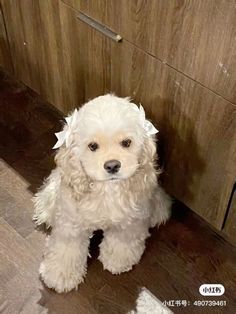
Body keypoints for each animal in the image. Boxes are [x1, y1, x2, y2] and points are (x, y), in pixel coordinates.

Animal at [32, 94, 171, 294]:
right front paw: (60, 275)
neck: (107, 189)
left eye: (126, 143)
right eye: (92, 146)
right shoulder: (71, 221)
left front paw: (118, 260)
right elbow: (67, 248)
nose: (112, 165)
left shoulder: (131, 219)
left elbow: (122, 240)